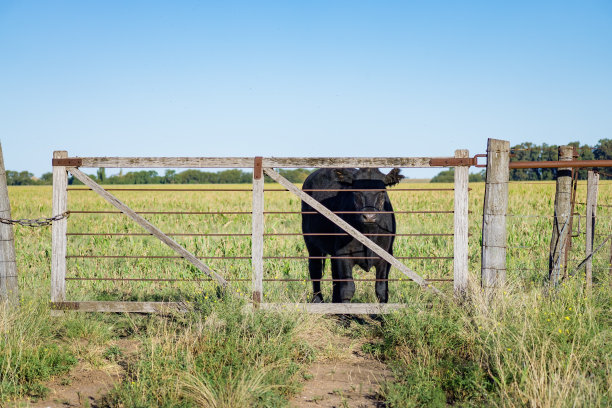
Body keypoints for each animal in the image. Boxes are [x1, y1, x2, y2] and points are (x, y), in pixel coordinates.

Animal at [300, 167, 404, 302]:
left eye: (382, 192)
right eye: (356, 192)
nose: (369, 216)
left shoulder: (386, 255)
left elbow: (381, 290)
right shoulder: (344, 254)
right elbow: (347, 289)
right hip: (311, 243)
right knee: (315, 270)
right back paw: (317, 300)